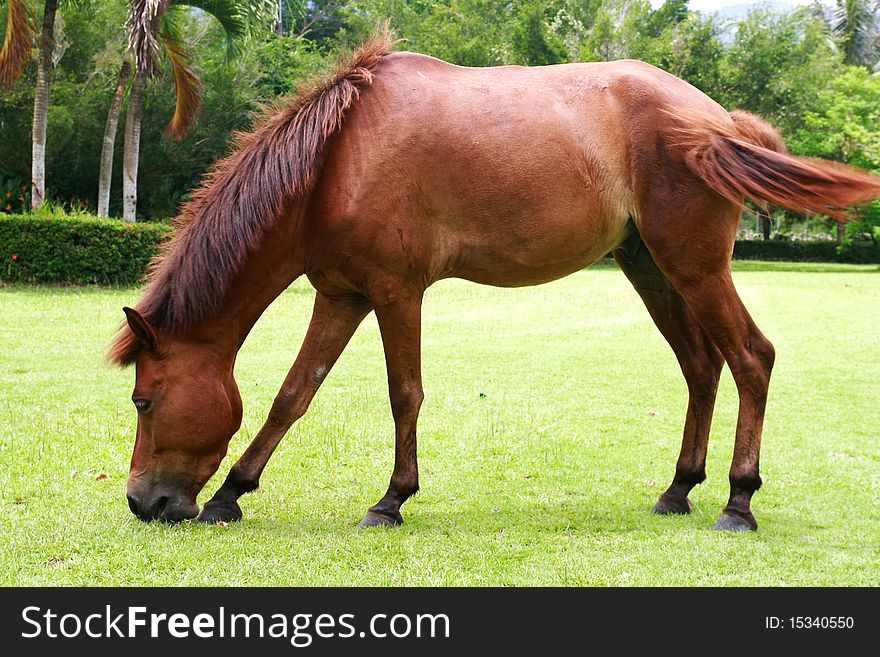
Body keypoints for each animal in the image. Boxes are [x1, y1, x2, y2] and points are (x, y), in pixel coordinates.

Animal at [110, 25, 880, 532]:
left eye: (144, 401)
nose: (143, 503)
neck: (336, 159)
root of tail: (716, 118)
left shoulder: (396, 292)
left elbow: (404, 394)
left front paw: (391, 499)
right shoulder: (341, 294)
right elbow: (292, 395)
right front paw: (230, 494)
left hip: (695, 267)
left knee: (750, 358)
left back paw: (737, 501)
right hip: (652, 269)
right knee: (701, 365)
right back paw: (677, 490)